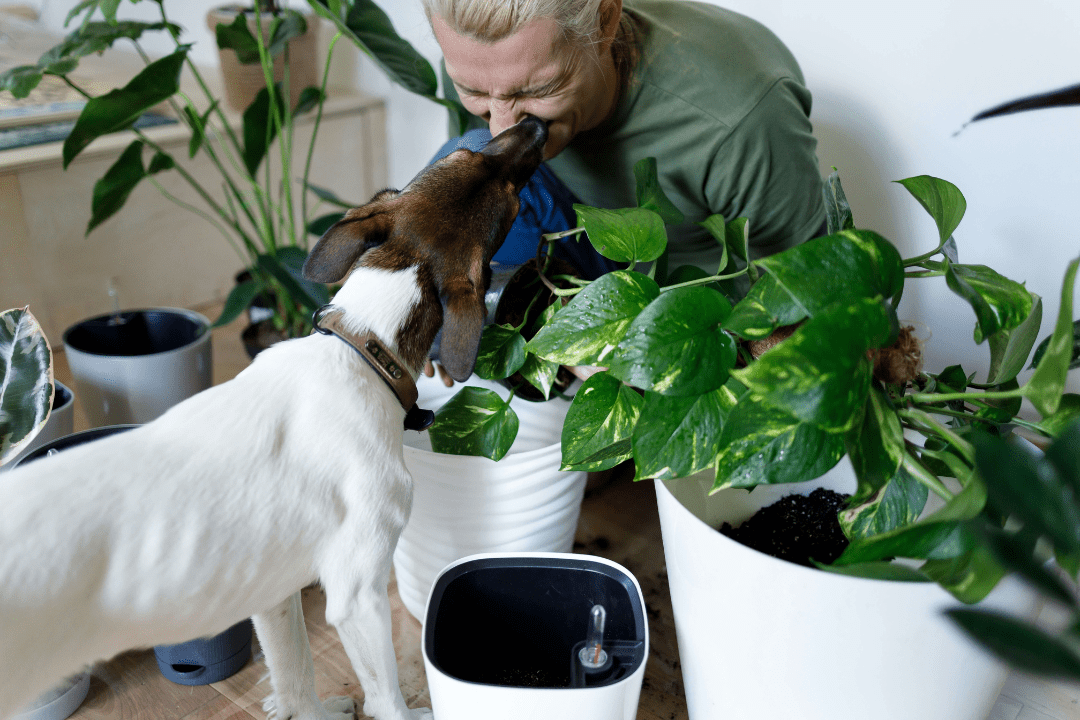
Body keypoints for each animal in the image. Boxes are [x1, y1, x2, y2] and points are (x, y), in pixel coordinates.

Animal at [0, 115, 552, 716]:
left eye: (466, 158)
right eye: (510, 195)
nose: (534, 123)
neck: (362, 348)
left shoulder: (271, 591)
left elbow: (294, 672)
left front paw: (310, 710)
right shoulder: (358, 597)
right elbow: (386, 697)